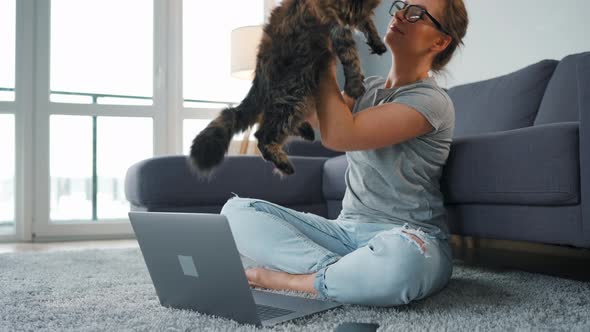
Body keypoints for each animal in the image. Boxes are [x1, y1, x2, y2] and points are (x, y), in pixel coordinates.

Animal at [188, 0, 384, 178]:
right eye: (343, 12)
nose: (349, 21)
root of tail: (259, 78)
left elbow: (368, 24)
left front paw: (377, 41)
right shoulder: (334, 23)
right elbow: (350, 54)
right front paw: (355, 85)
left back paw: (304, 131)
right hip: (296, 89)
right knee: (262, 135)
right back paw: (284, 163)